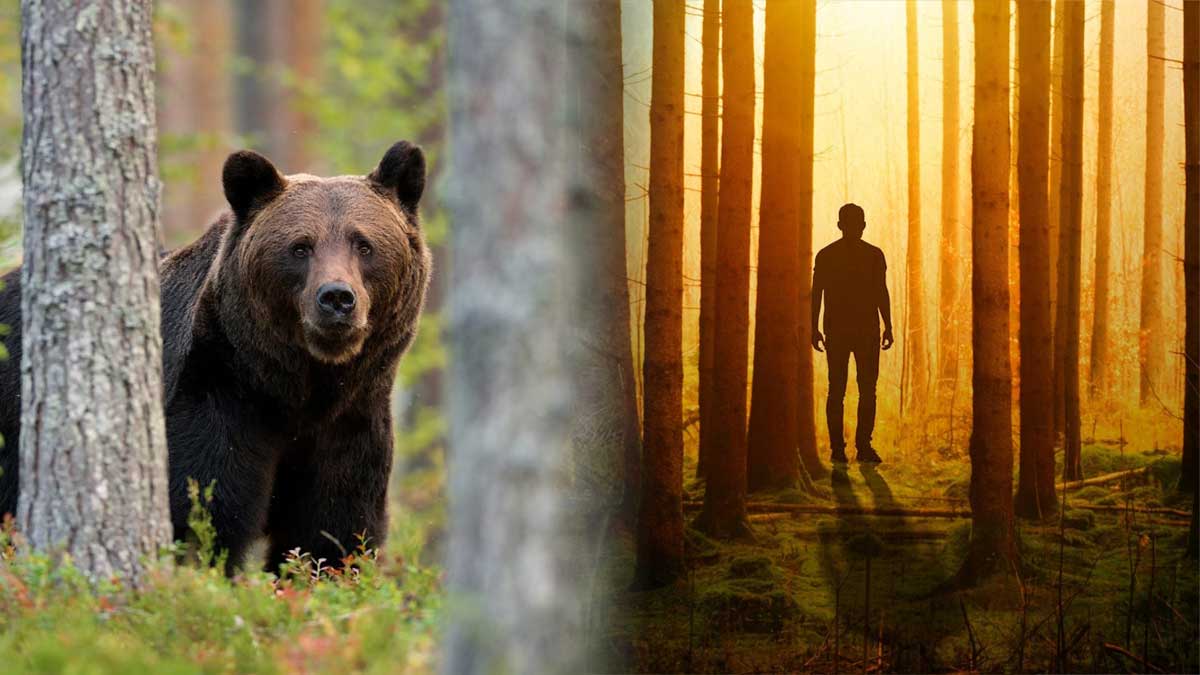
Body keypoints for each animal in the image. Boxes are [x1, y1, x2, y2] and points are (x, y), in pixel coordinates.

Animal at [0, 140, 431, 573]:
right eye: (300, 247)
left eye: (364, 244)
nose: (337, 298)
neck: (298, 390)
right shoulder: (218, 395)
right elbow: (205, 510)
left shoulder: (350, 425)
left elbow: (331, 533)